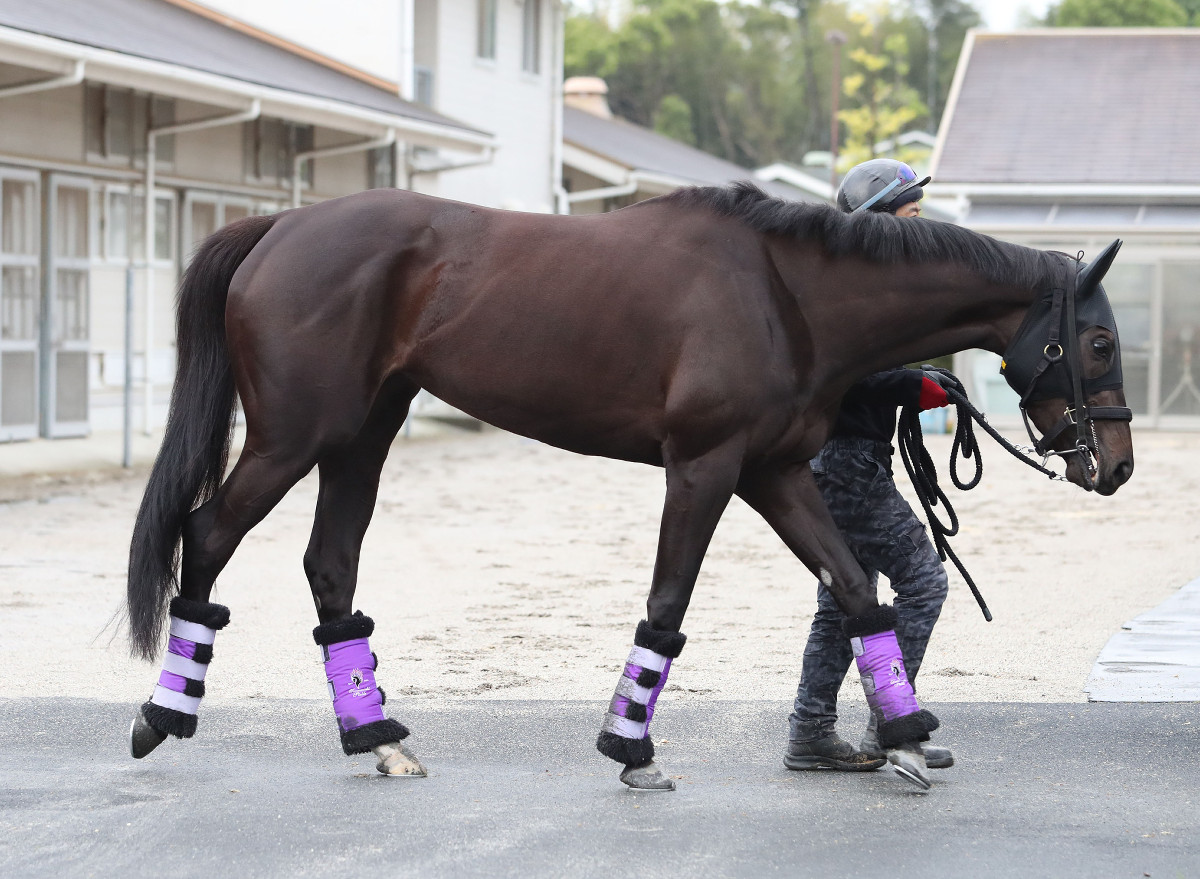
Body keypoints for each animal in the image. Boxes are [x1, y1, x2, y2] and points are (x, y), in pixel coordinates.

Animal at [124, 182, 1132, 792]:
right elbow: (668, 604)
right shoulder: (706, 468)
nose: (1114, 464)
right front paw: (631, 747)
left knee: (330, 567)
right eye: (1097, 341)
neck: (785, 294)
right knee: (207, 538)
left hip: (360, 438)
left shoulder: (771, 473)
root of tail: (280, 226)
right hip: (294, 438)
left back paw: (379, 738)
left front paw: (909, 734)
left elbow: (855, 591)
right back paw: (160, 716)